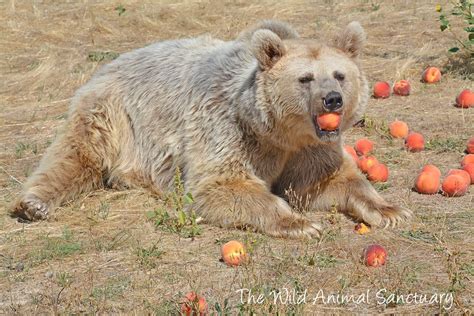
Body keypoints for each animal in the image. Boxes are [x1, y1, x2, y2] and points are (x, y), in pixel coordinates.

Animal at [11, 20, 412, 237]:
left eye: (340, 74)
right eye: (305, 78)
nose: (332, 100)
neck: (277, 132)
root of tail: (111, 62)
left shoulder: (306, 148)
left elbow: (329, 179)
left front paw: (391, 210)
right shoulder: (228, 131)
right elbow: (223, 185)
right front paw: (300, 224)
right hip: (115, 112)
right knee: (77, 154)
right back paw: (34, 204)